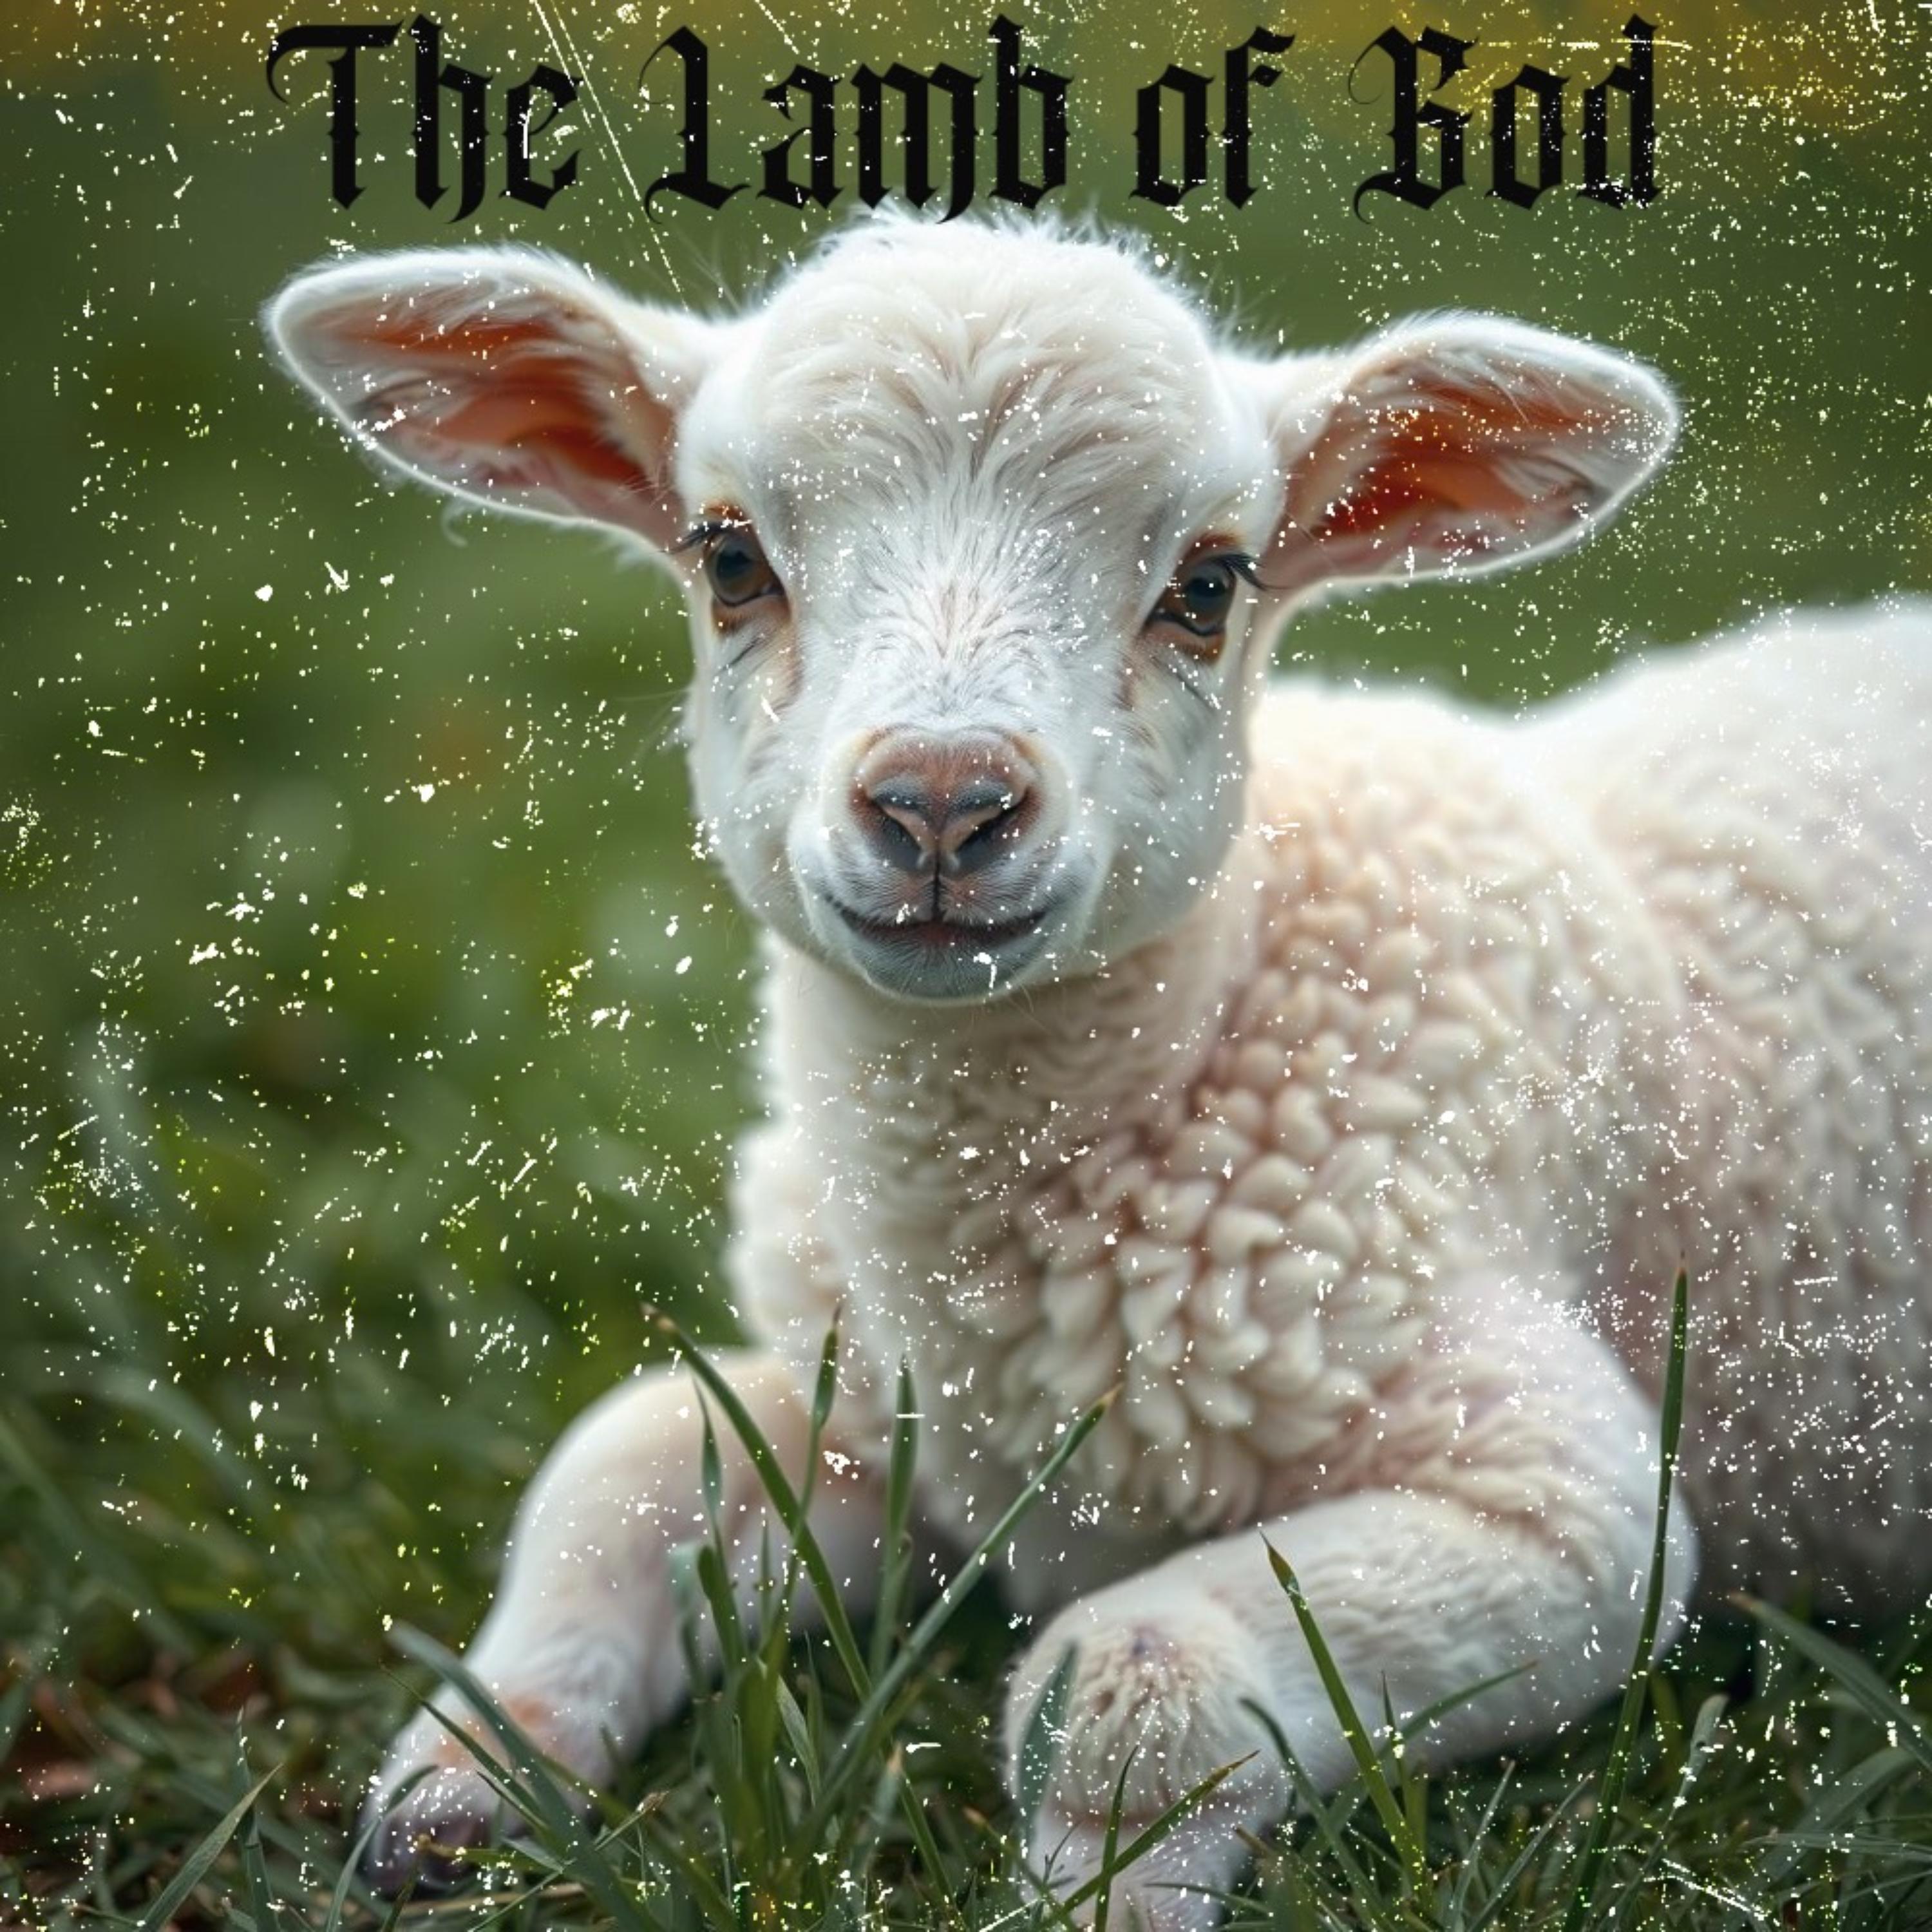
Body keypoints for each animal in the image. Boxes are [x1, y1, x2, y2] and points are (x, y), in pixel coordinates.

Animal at [265, 215, 1932, 1926]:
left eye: (1205, 583)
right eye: (728, 558)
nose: (942, 801)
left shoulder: (1571, 1507)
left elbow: (1123, 1673)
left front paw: (1109, 1881)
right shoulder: (892, 1412)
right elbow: (618, 1465)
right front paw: (464, 1779)